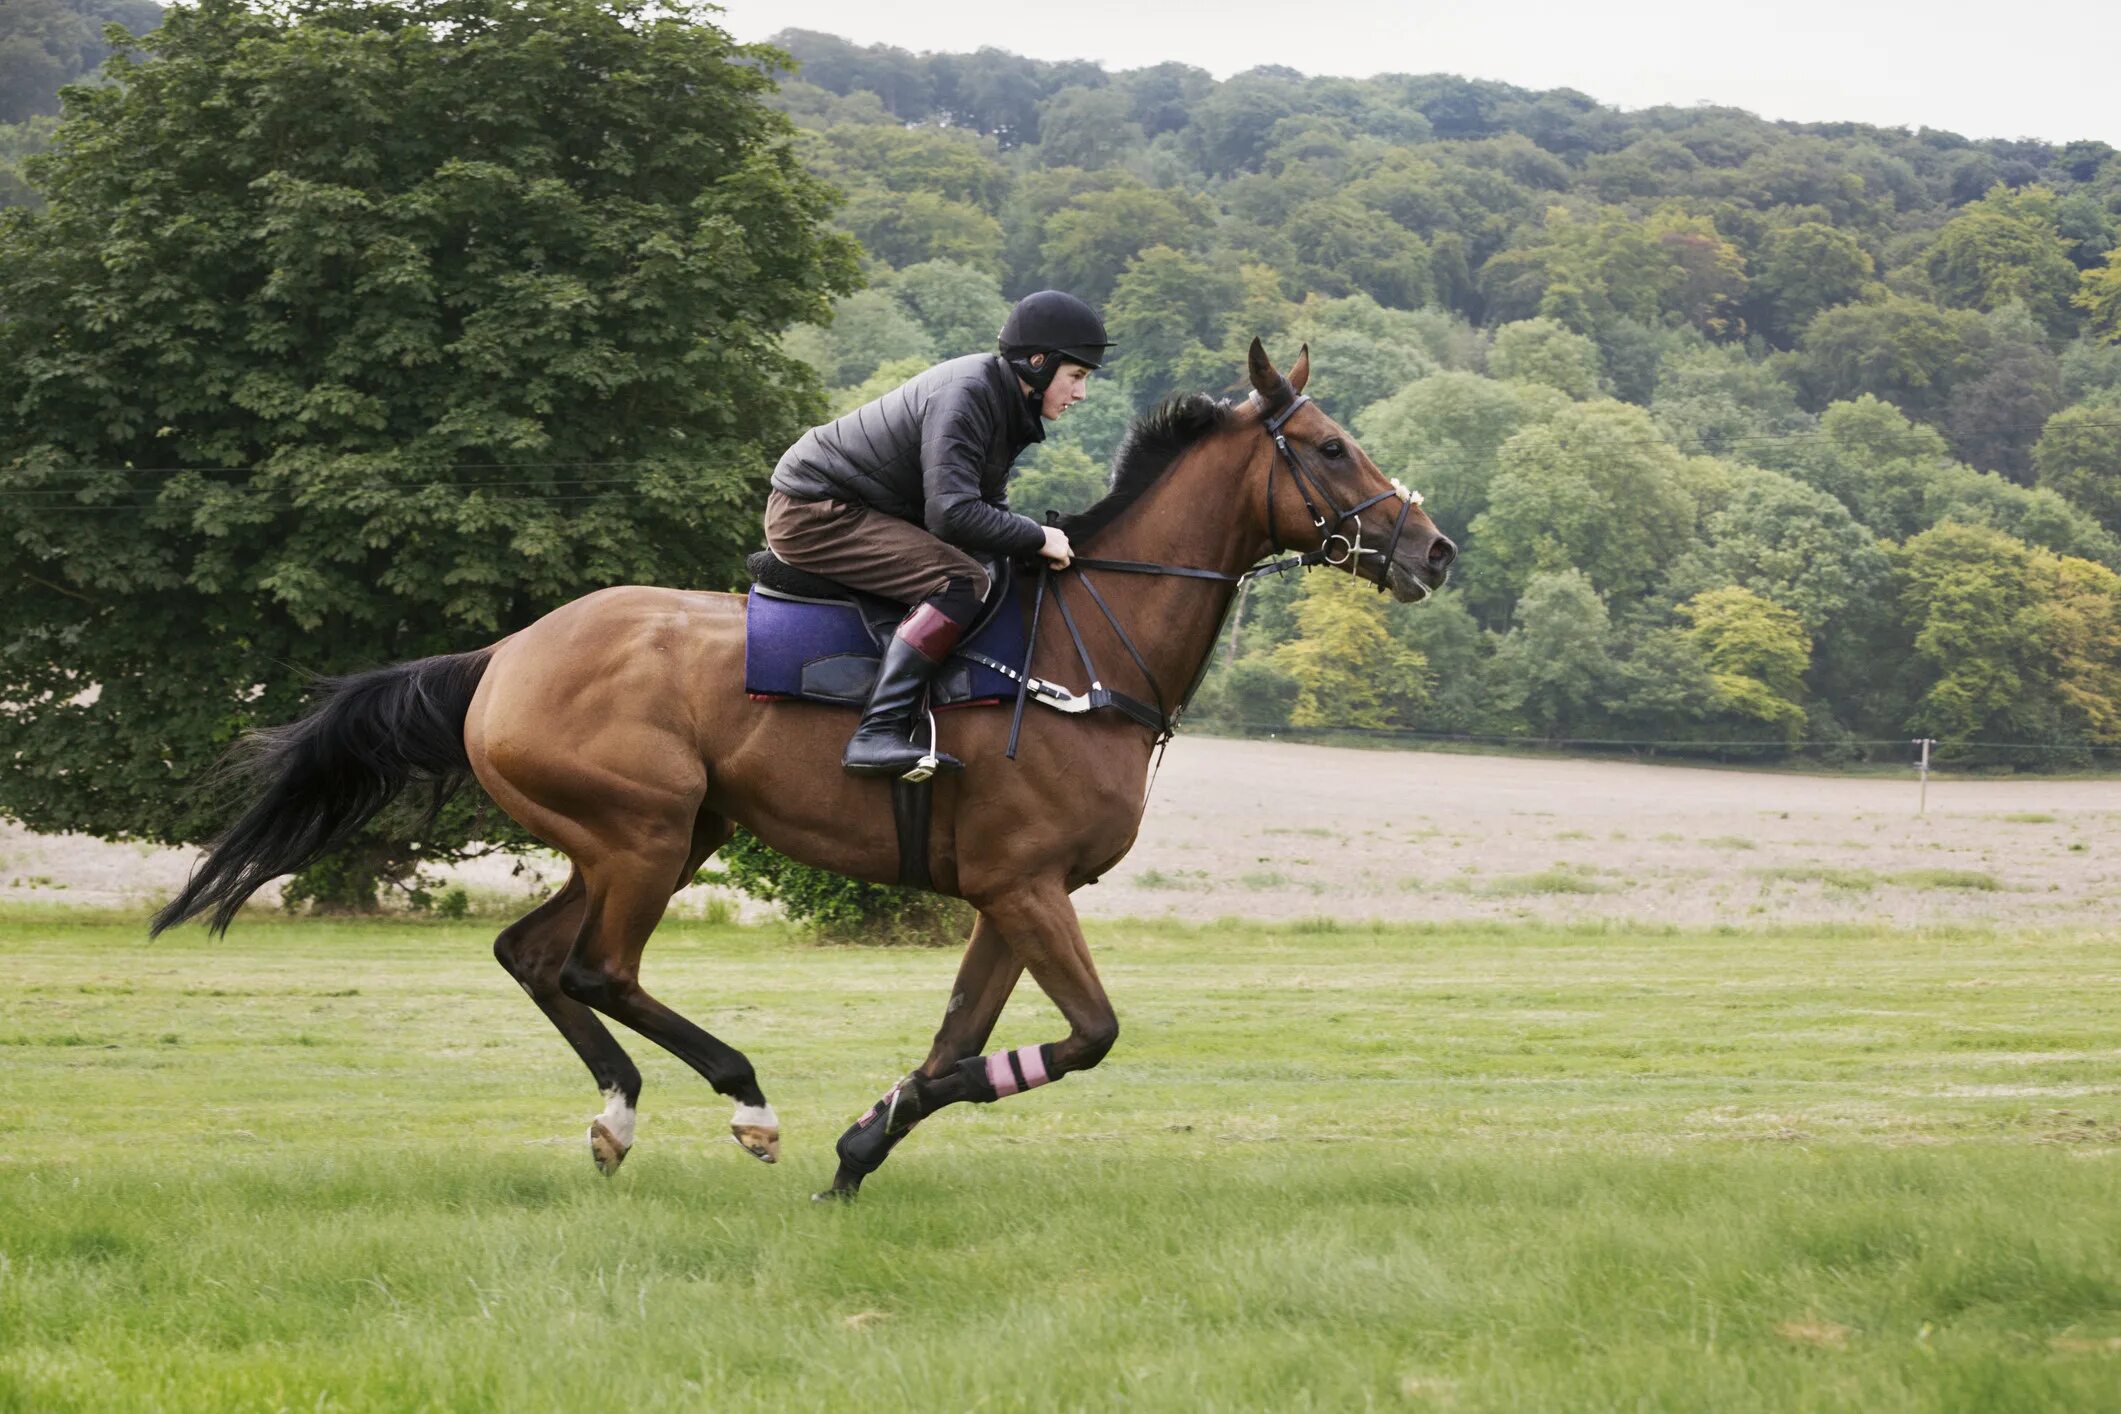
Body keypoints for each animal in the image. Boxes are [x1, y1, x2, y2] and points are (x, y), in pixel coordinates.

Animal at [153, 339, 1459, 1195]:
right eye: (1331, 447)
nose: (1435, 548)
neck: (1090, 647)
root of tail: (505, 654)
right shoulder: (1027, 886)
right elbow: (1086, 1035)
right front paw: (845, 1133)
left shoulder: (1011, 894)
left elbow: (958, 1039)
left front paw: (864, 1143)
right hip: (645, 829)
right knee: (596, 966)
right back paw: (746, 1100)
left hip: (662, 836)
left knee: (533, 955)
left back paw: (619, 1117)